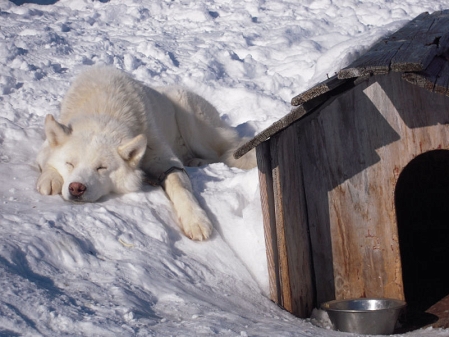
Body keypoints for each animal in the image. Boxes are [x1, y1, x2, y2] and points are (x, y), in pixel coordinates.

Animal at [36, 66, 254, 239]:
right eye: (69, 164)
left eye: (101, 168)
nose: (76, 188)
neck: (104, 109)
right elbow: (45, 160)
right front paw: (50, 178)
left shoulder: (164, 158)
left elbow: (178, 185)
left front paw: (195, 219)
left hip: (193, 125)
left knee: (223, 151)